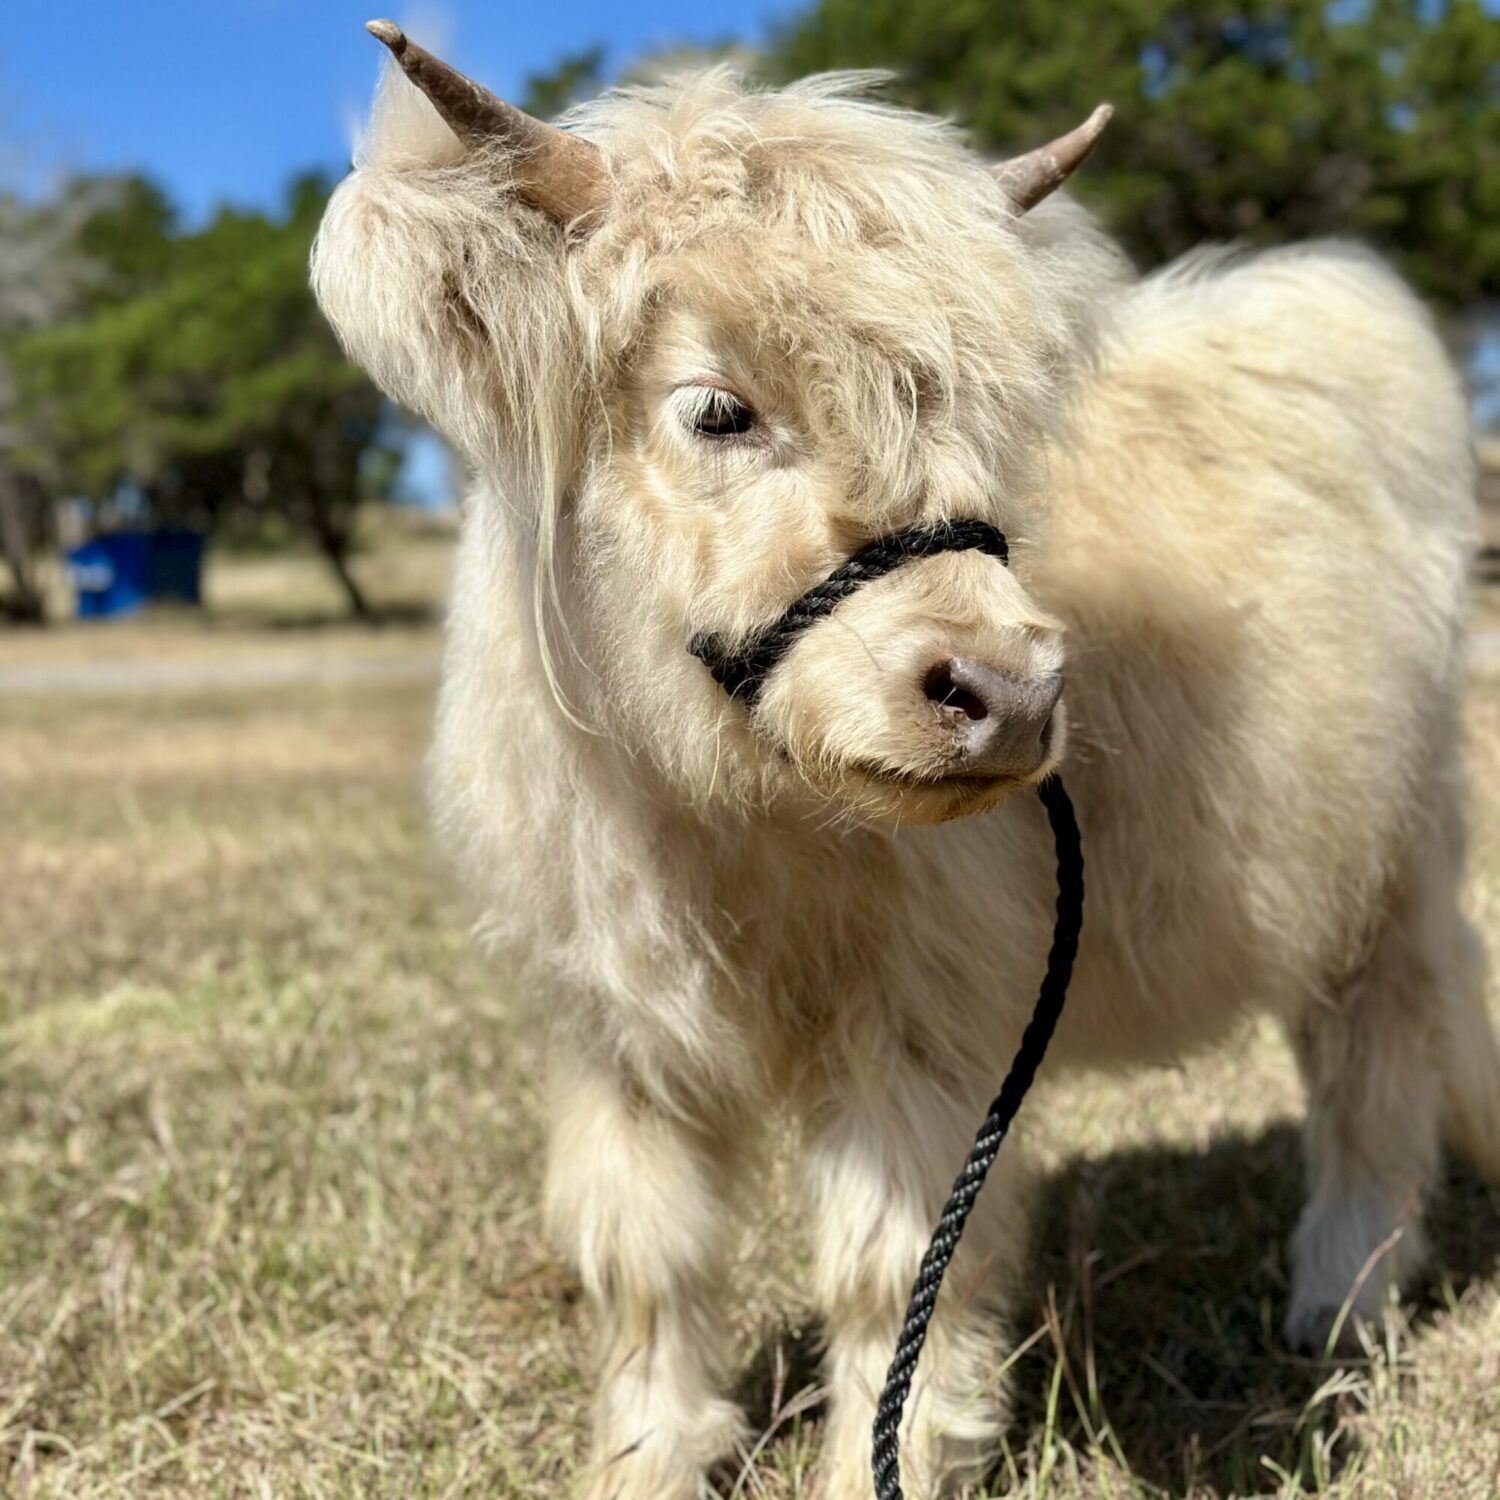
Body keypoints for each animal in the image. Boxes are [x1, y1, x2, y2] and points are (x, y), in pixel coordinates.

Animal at [313, 24, 1499, 1497]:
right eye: (716, 409)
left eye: (980, 425)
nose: (1012, 692)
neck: (720, 825)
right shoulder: (615, 1029)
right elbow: (647, 1259)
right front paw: (648, 1455)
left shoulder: (923, 1019)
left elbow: (896, 1272)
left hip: (1395, 869)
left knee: (1375, 1070)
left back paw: (1338, 1299)